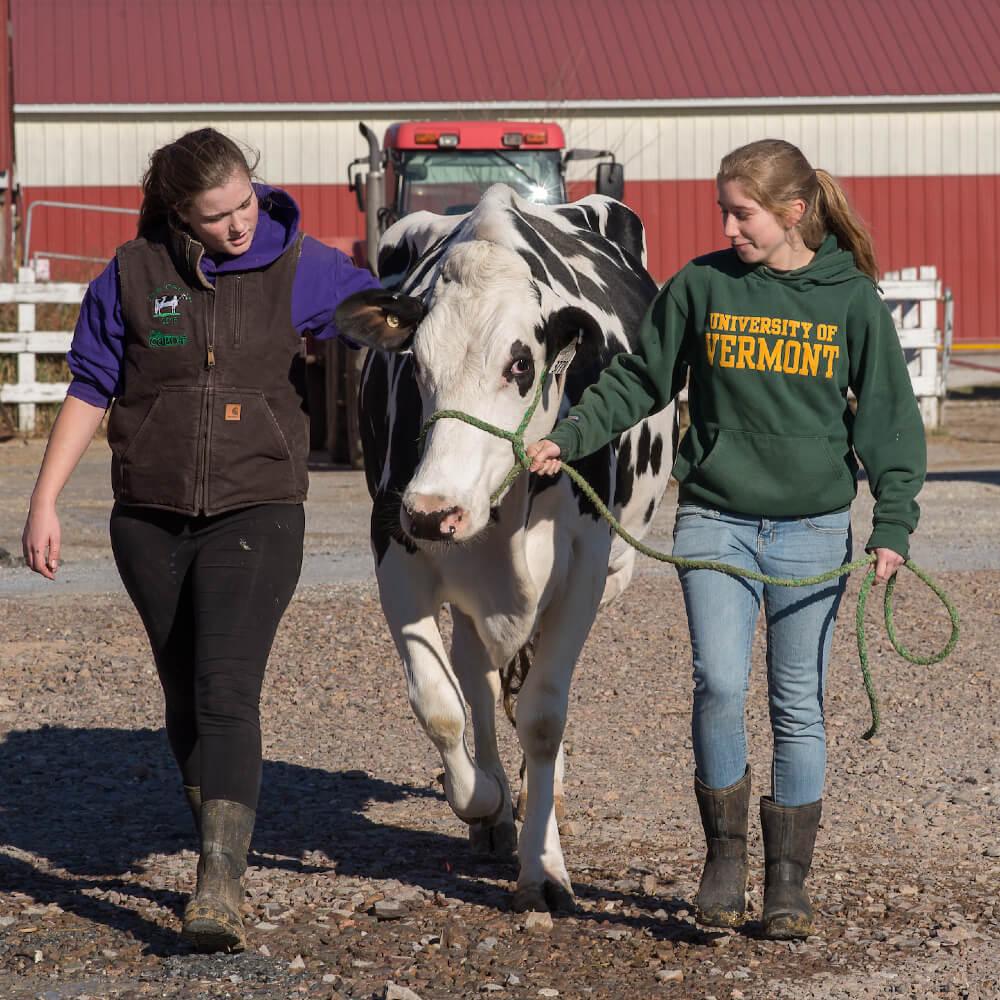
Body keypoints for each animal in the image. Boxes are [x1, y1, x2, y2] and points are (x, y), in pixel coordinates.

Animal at [340, 184, 676, 912]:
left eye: (520, 364)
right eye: (415, 365)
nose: (434, 509)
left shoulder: (585, 565)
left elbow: (545, 716)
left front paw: (543, 866)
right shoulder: (394, 546)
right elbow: (440, 705)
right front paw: (482, 799)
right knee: (476, 672)